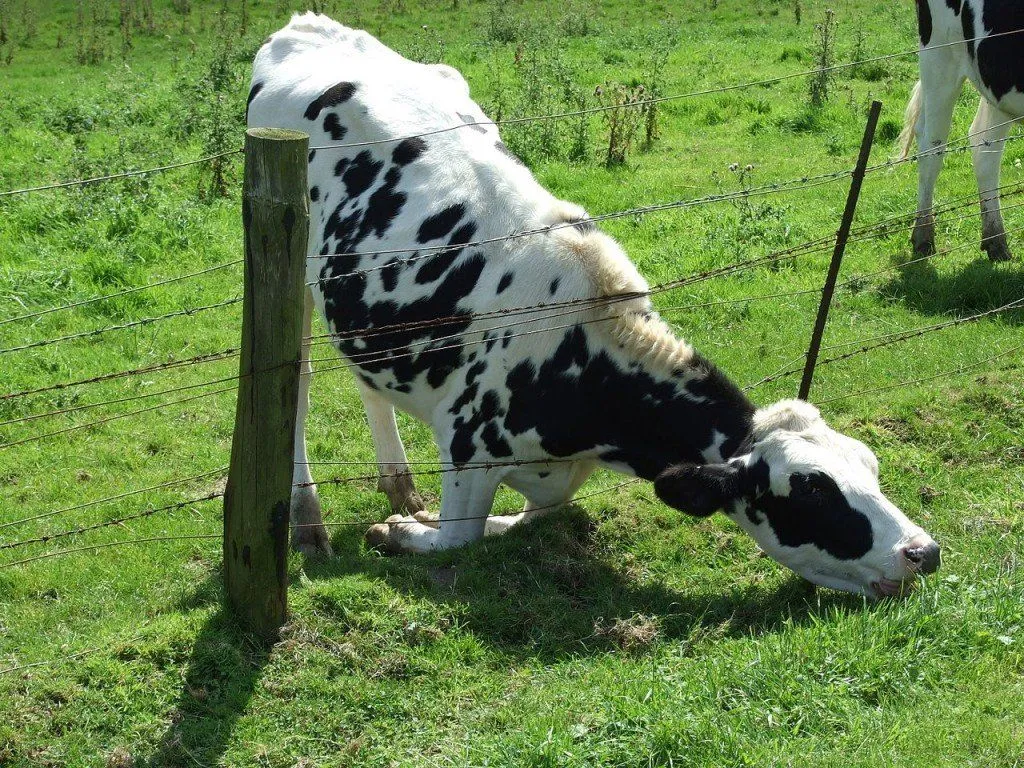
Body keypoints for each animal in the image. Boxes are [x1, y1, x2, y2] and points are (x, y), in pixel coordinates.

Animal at [247, 13, 940, 599]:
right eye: (814, 495)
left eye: (872, 467)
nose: (923, 551)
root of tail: (308, 25)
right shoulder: (467, 449)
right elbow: (456, 540)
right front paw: (397, 532)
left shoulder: (552, 475)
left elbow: (533, 517)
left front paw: (412, 515)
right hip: (292, 273)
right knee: (295, 379)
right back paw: (307, 519)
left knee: (367, 379)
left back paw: (397, 484)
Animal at [900, 0, 1024, 262]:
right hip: (940, 56)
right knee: (931, 145)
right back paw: (923, 237)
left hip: (997, 82)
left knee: (984, 147)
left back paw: (996, 241)